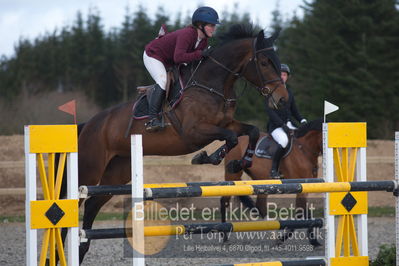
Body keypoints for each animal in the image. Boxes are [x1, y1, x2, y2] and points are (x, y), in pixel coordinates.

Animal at [60, 23, 290, 264]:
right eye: (264, 63)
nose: (282, 99)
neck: (211, 84)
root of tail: (88, 124)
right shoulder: (194, 132)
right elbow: (231, 137)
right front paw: (208, 157)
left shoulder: (228, 123)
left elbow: (250, 132)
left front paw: (238, 162)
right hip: (89, 169)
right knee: (71, 204)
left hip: (117, 171)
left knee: (92, 205)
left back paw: (82, 250)